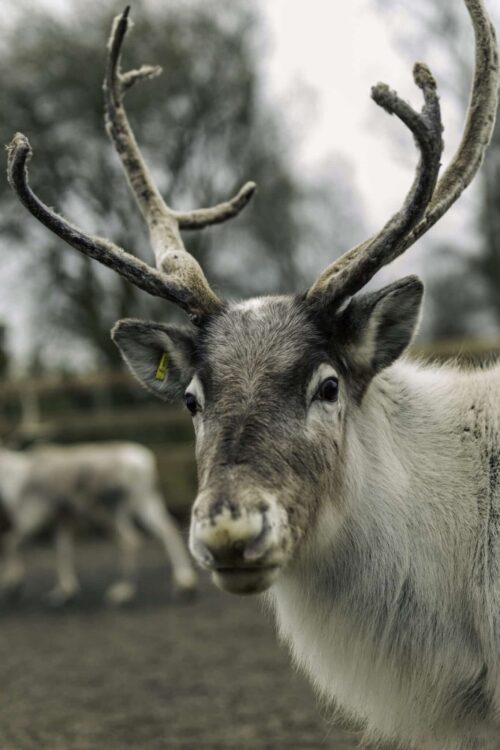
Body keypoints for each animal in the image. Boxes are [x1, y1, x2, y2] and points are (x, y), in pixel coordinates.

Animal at [0, 441, 197, 606]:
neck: (14, 479)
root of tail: (145, 463)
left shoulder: (33, 514)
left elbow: (11, 542)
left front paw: (13, 584)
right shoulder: (64, 517)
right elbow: (63, 548)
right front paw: (65, 591)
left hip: (110, 510)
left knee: (129, 540)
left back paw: (123, 591)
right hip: (145, 500)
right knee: (167, 528)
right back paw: (185, 584)